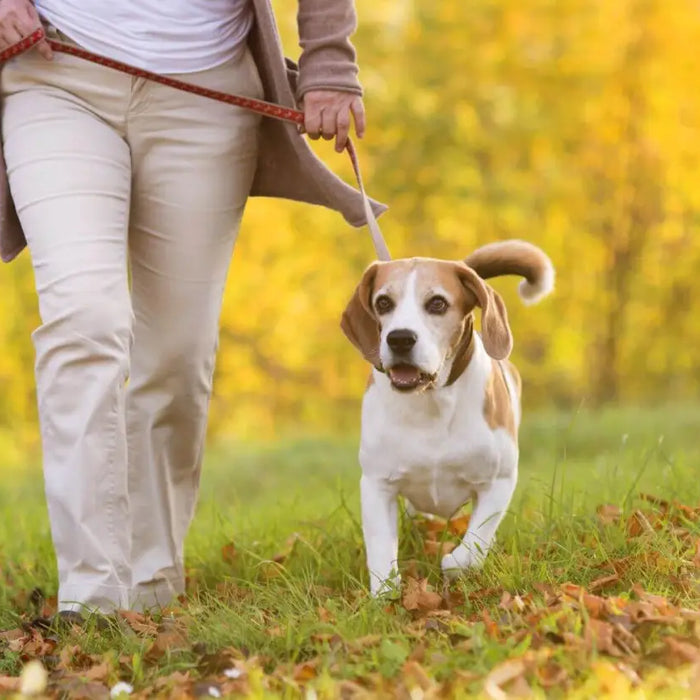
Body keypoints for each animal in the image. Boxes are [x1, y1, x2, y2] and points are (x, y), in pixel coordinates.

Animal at [342, 238, 556, 592]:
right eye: (383, 302)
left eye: (438, 304)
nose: (400, 338)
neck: (432, 401)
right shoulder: (376, 484)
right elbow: (381, 549)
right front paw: (385, 594)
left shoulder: (499, 481)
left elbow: (474, 543)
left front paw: (453, 563)